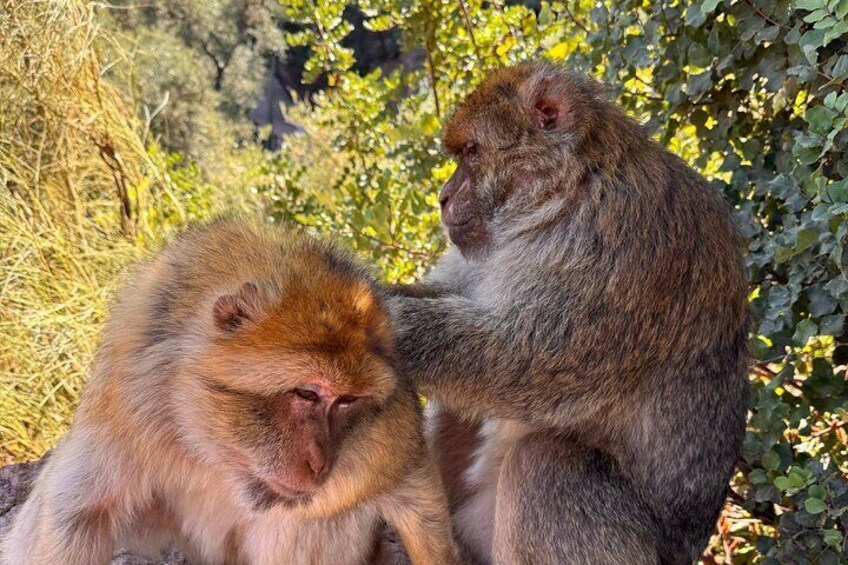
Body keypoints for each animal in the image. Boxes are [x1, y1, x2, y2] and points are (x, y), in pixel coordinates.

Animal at [0, 219, 458, 564]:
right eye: (308, 394)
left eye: (347, 401)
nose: (320, 464)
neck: (217, 452)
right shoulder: (127, 406)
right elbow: (74, 513)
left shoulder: (387, 439)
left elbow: (415, 492)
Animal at [390, 59, 748, 560]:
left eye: (472, 152)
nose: (443, 197)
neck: (572, 188)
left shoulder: (620, 238)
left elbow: (529, 360)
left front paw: (378, 318)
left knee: (548, 462)